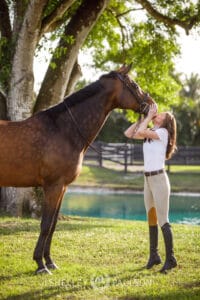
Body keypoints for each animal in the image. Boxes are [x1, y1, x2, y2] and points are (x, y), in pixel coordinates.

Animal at [0, 65, 155, 274]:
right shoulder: (53, 186)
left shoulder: (63, 187)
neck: (63, 130)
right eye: (134, 85)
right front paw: (40, 265)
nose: (151, 104)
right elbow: (45, 224)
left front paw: (50, 261)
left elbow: (53, 225)